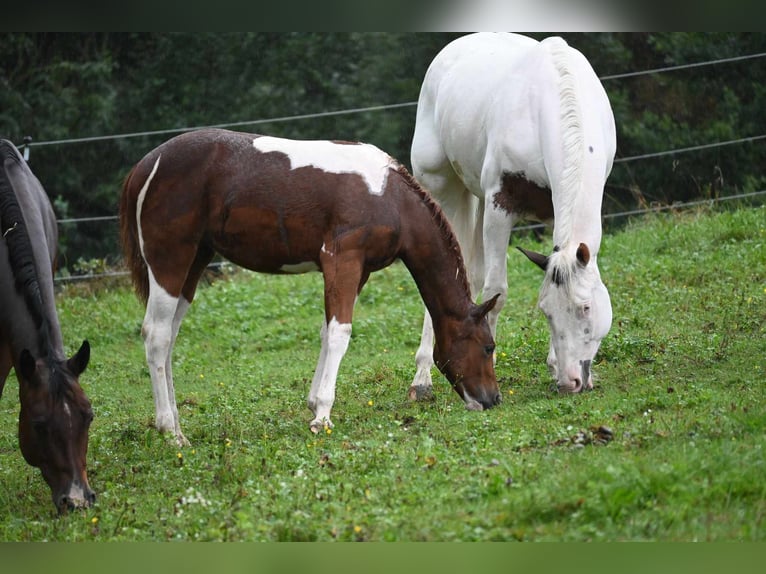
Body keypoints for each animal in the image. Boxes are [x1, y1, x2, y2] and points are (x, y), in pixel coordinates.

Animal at [120, 128, 504, 448]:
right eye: (488, 347)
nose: (493, 399)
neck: (389, 197)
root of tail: (144, 167)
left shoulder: (358, 271)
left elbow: (326, 330)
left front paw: (313, 402)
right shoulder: (343, 260)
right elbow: (340, 333)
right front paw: (322, 416)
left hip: (194, 264)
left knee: (169, 338)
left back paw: (176, 425)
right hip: (170, 262)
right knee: (156, 335)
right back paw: (169, 431)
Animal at [408, 33, 616, 398]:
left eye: (585, 308)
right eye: (547, 312)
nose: (571, 381)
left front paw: (552, 366)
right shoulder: (499, 204)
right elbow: (497, 291)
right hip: (441, 191)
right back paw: (422, 379)